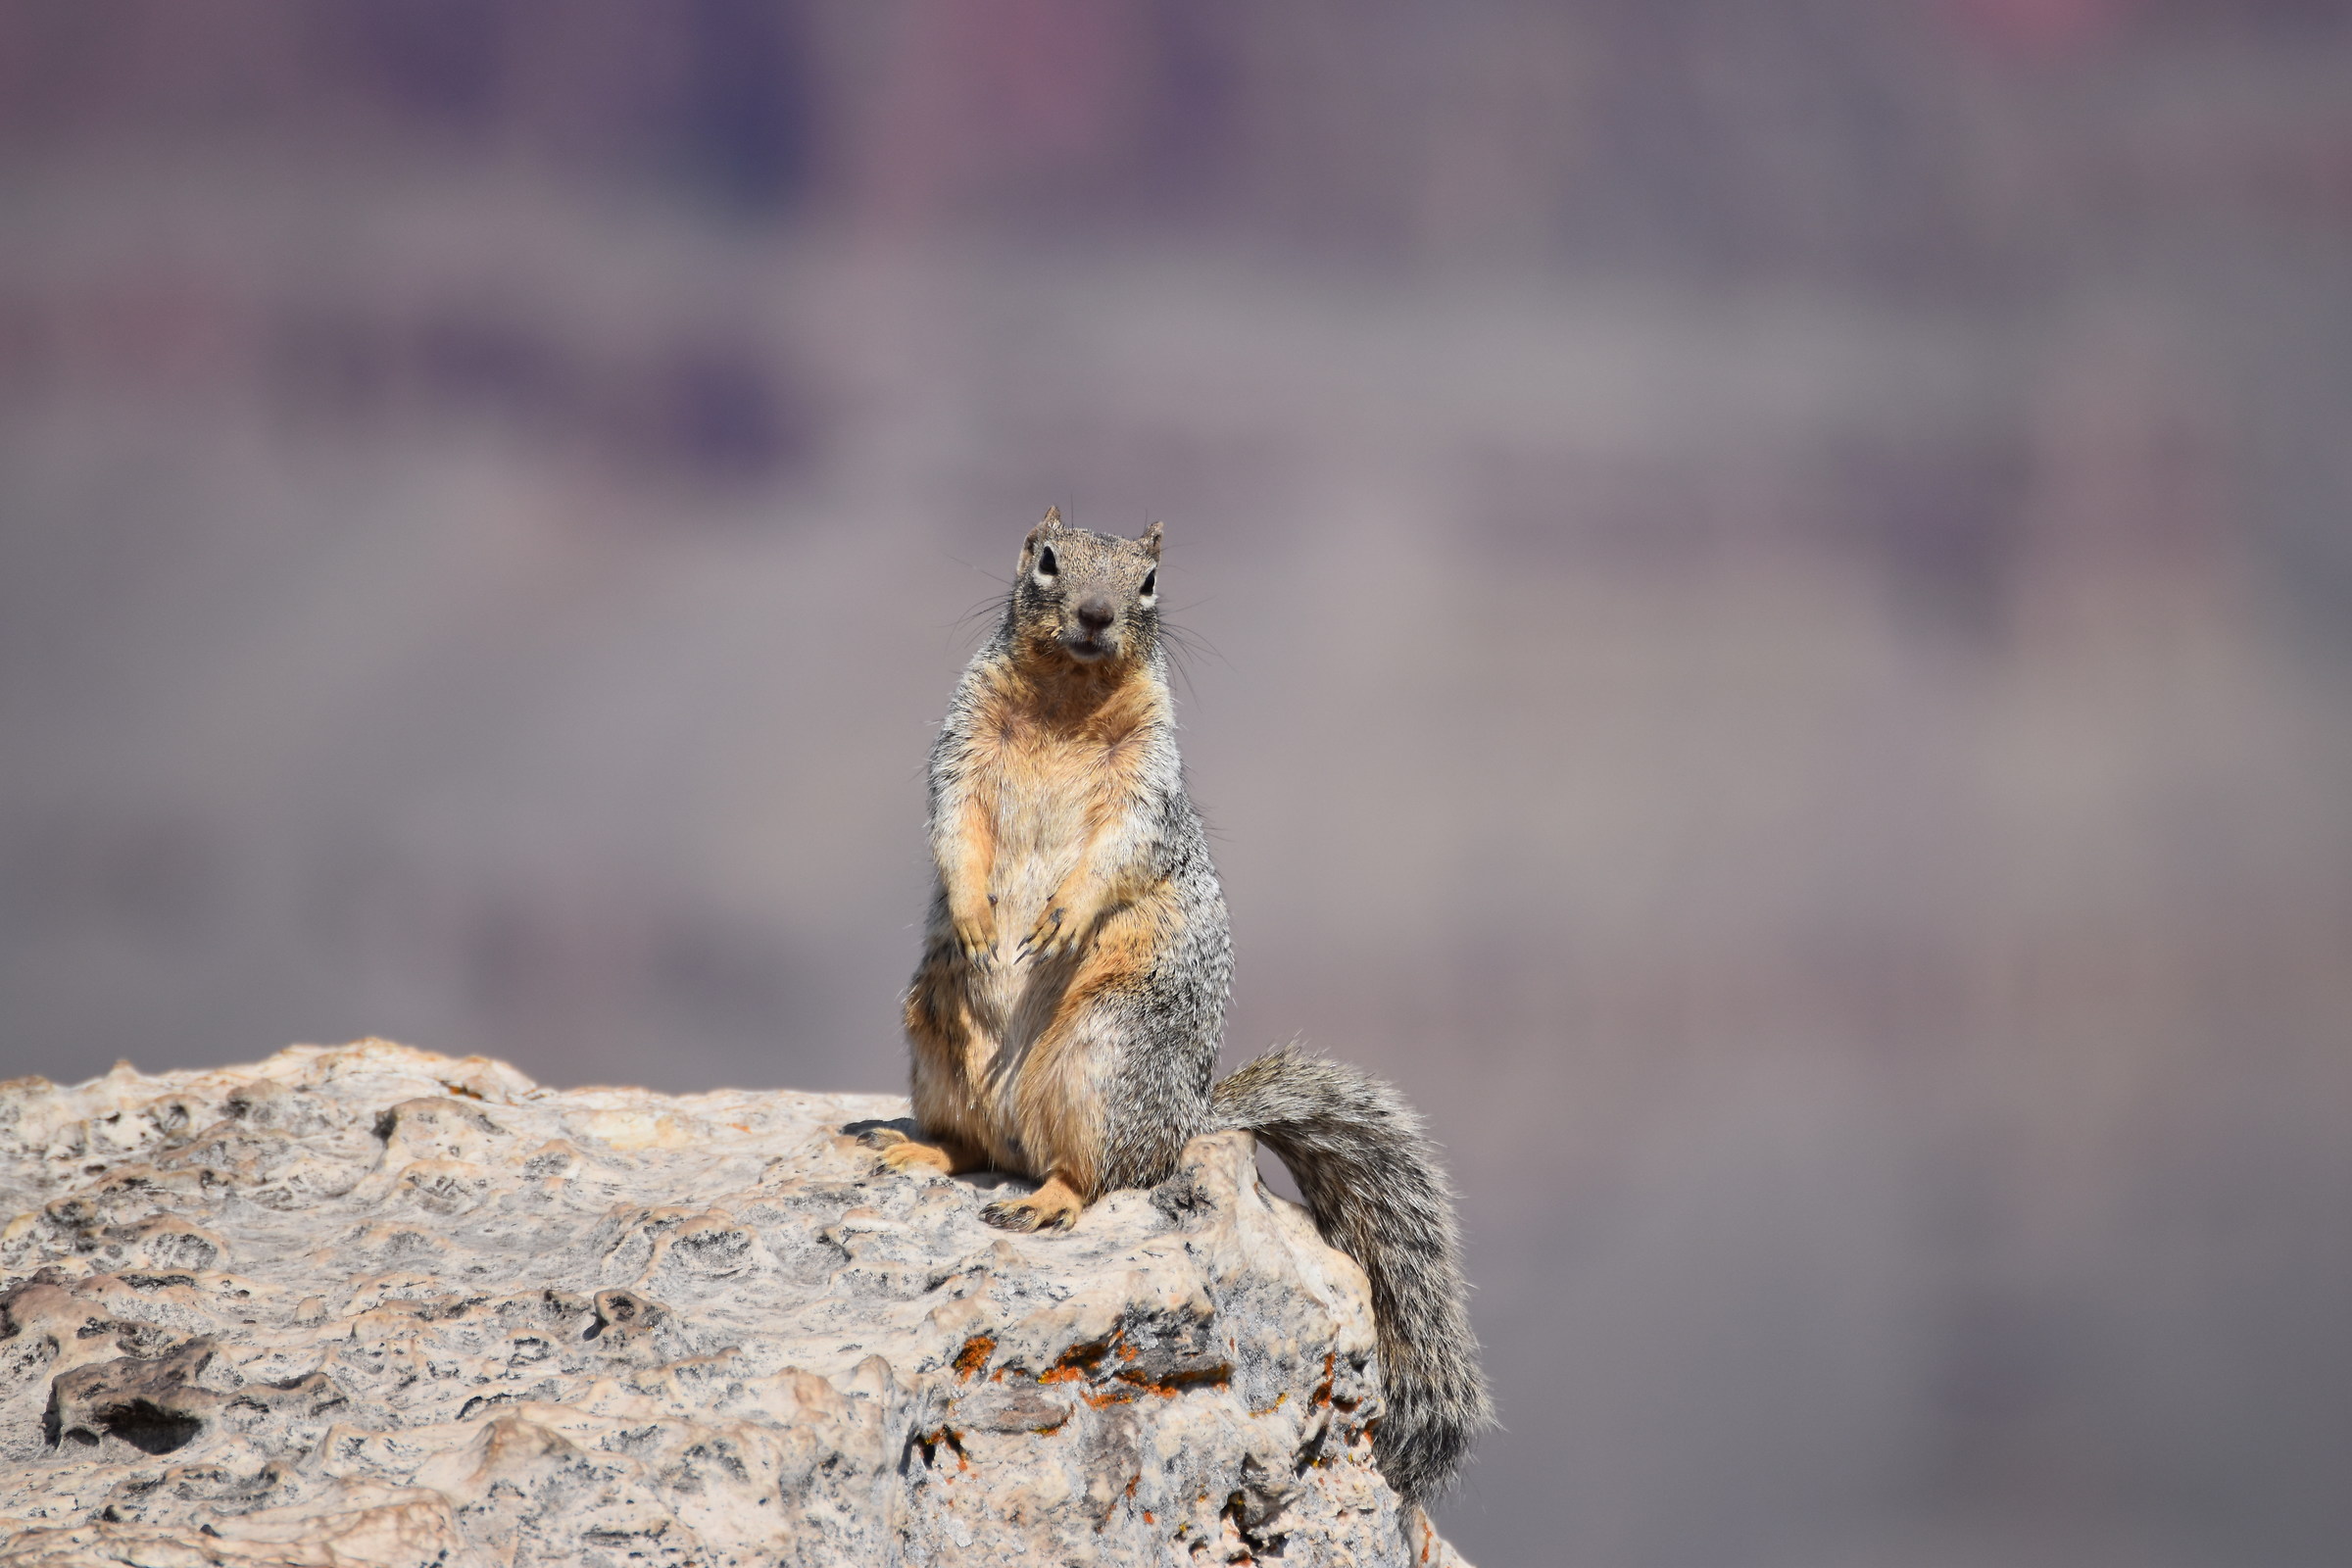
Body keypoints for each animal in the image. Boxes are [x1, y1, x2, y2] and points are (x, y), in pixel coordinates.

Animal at [862, 509, 1493, 1505]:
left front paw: (1059, 919)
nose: (1095, 613)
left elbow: (1121, 846)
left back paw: (1047, 1200)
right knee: (973, 1146)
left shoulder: (1149, 779)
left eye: (1152, 579)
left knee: (1101, 1171)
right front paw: (976, 917)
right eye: (1046, 559)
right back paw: (920, 1146)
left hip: (1107, 1049)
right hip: (932, 1028)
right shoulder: (960, 741)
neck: (1066, 702)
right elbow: (953, 821)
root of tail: (1190, 1114)